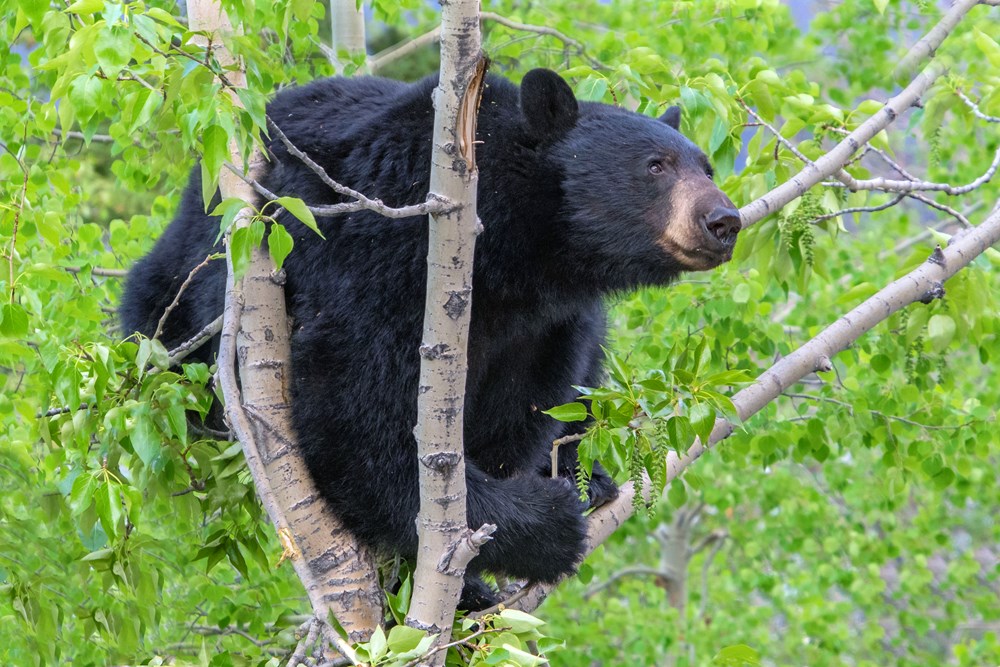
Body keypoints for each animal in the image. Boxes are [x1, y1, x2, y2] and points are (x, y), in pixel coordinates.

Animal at [120, 68, 740, 610]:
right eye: (655, 166)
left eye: (708, 167)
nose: (724, 220)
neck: (510, 249)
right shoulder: (385, 250)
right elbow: (360, 418)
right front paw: (540, 526)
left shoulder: (549, 324)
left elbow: (530, 405)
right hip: (182, 308)